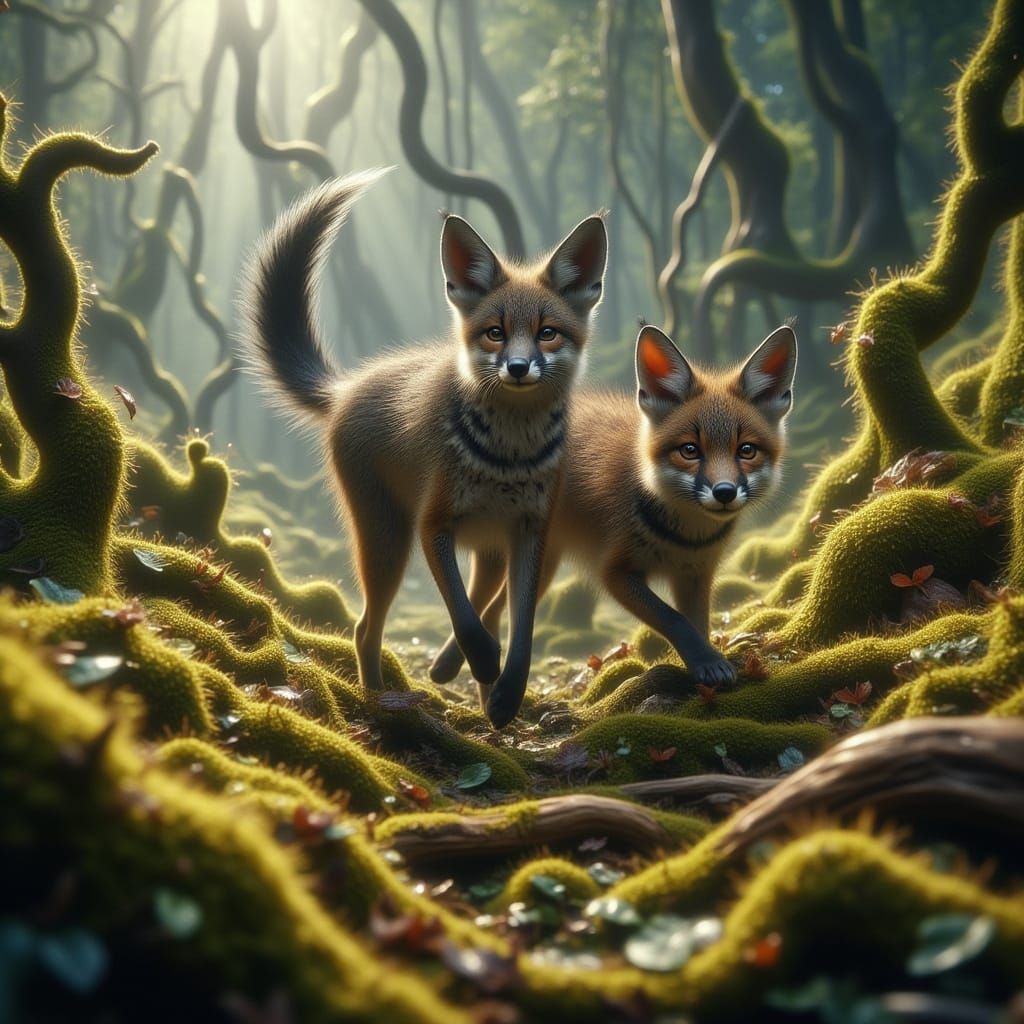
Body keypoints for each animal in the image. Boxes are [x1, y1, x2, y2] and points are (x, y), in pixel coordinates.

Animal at [240, 169, 607, 727]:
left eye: (547, 334)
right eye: (495, 333)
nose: (518, 368)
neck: (508, 458)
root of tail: (348, 386)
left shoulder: (531, 532)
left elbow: (518, 628)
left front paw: (506, 690)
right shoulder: (433, 525)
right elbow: (468, 622)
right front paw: (480, 665)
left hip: (486, 550)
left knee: (486, 607)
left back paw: (472, 690)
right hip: (387, 541)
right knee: (365, 630)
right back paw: (379, 703)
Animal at [430, 322, 797, 698]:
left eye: (747, 450)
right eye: (690, 450)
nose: (724, 492)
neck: (683, 536)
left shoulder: (695, 574)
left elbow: (697, 624)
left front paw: (703, 669)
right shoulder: (615, 573)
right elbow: (674, 619)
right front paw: (708, 664)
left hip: (538, 565)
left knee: (488, 610)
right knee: (489, 610)